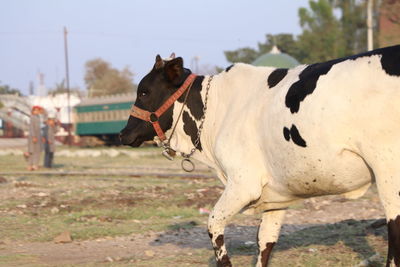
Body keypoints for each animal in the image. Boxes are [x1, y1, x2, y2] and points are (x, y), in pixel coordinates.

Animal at [120, 46, 400, 267]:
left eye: (144, 91)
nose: (123, 133)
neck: (220, 109)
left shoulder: (243, 183)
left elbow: (213, 226)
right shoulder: (277, 195)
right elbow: (265, 241)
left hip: (388, 172)